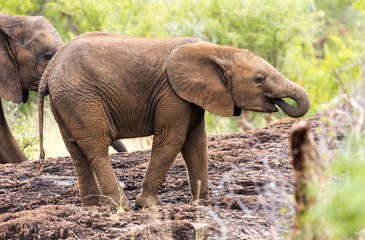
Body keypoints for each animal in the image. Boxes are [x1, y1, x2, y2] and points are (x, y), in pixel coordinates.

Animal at [38, 32, 308, 210]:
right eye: (259, 79)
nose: (281, 102)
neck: (216, 50)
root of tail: (50, 69)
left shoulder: (192, 96)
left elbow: (196, 141)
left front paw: (202, 202)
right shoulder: (172, 93)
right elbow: (172, 139)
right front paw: (148, 205)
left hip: (67, 101)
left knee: (76, 150)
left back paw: (92, 206)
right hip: (81, 98)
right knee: (96, 147)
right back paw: (122, 207)